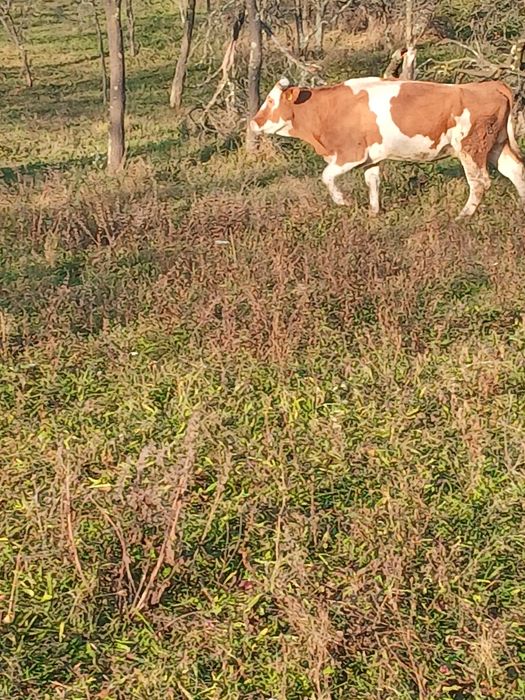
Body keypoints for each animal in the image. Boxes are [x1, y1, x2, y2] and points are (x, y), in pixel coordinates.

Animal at [249, 76, 525, 219]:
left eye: (270, 100)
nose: (254, 122)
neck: (328, 109)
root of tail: (489, 84)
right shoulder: (372, 158)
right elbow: (373, 182)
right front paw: (373, 212)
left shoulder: (351, 154)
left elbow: (326, 176)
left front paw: (344, 201)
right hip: (497, 145)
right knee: (516, 171)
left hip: (471, 146)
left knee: (479, 182)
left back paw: (462, 216)